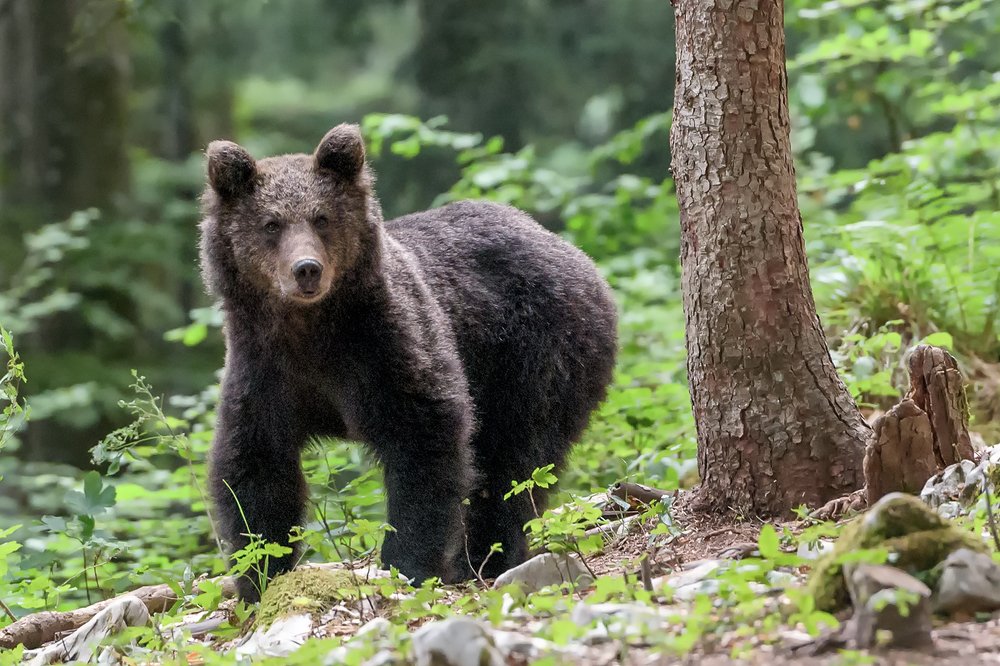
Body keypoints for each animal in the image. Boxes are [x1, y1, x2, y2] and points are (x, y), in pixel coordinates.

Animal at [199, 124, 618, 601]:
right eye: (271, 224)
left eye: (322, 217)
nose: (306, 269)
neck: (312, 331)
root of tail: (572, 252)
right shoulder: (265, 370)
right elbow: (256, 468)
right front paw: (259, 575)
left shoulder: (386, 348)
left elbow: (423, 440)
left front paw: (407, 563)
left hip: (534, 353)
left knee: (515, 460)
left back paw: (482, 557)